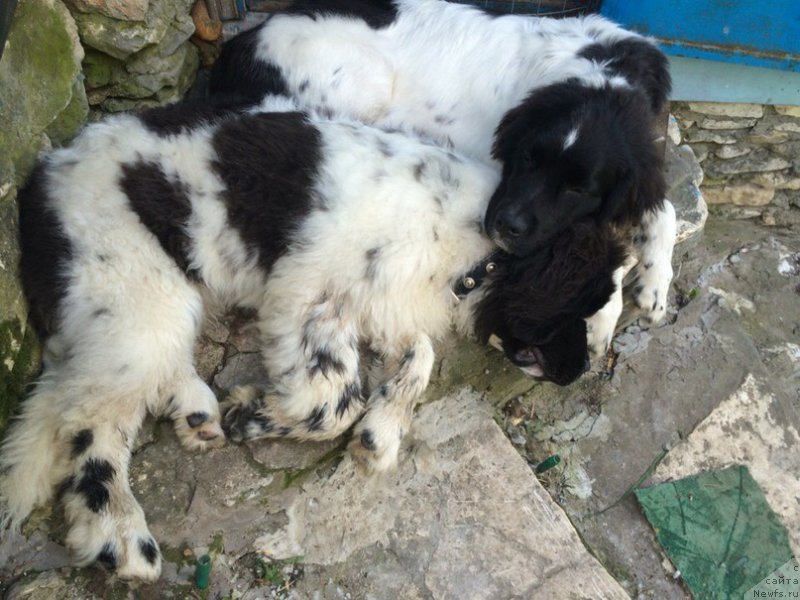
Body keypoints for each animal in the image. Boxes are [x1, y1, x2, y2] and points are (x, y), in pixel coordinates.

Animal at [1, 96, 624, 580]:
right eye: (586, 309)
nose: (582, 372)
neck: (470, 243)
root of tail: (43, 176)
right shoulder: (308, 296)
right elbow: (335, 400)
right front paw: (256, 415)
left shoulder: (378, 304)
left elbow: (416, 358)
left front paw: (380, 434)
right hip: (136, 290)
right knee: (90, 419)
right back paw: (118, 534)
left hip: (140, 305)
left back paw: (195, 413)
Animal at [211, 0, 676, 354]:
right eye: (527, 158)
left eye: (578, 188)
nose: (504, 227)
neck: (603, 73)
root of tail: (243, 41)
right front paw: (605, 316)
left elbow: (662, 207)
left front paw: (654, 284)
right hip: (364, 83)